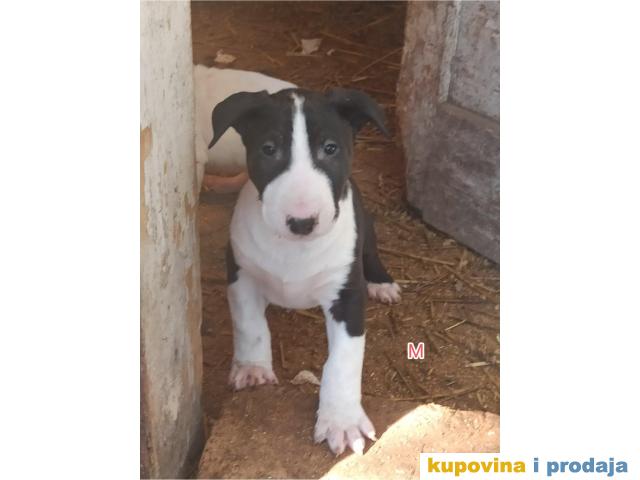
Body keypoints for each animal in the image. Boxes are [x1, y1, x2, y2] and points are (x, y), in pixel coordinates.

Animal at [208, 87, 401, 456]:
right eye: (269, 149)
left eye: (331, 148)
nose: (302, 222)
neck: (294, 249)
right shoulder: (241, 274)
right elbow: (250, 326)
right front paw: (253, 369)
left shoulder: (347, 295)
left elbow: (343, 360)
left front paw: (342, 422)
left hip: (366, 227)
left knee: (371, 251)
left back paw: (382, 283)